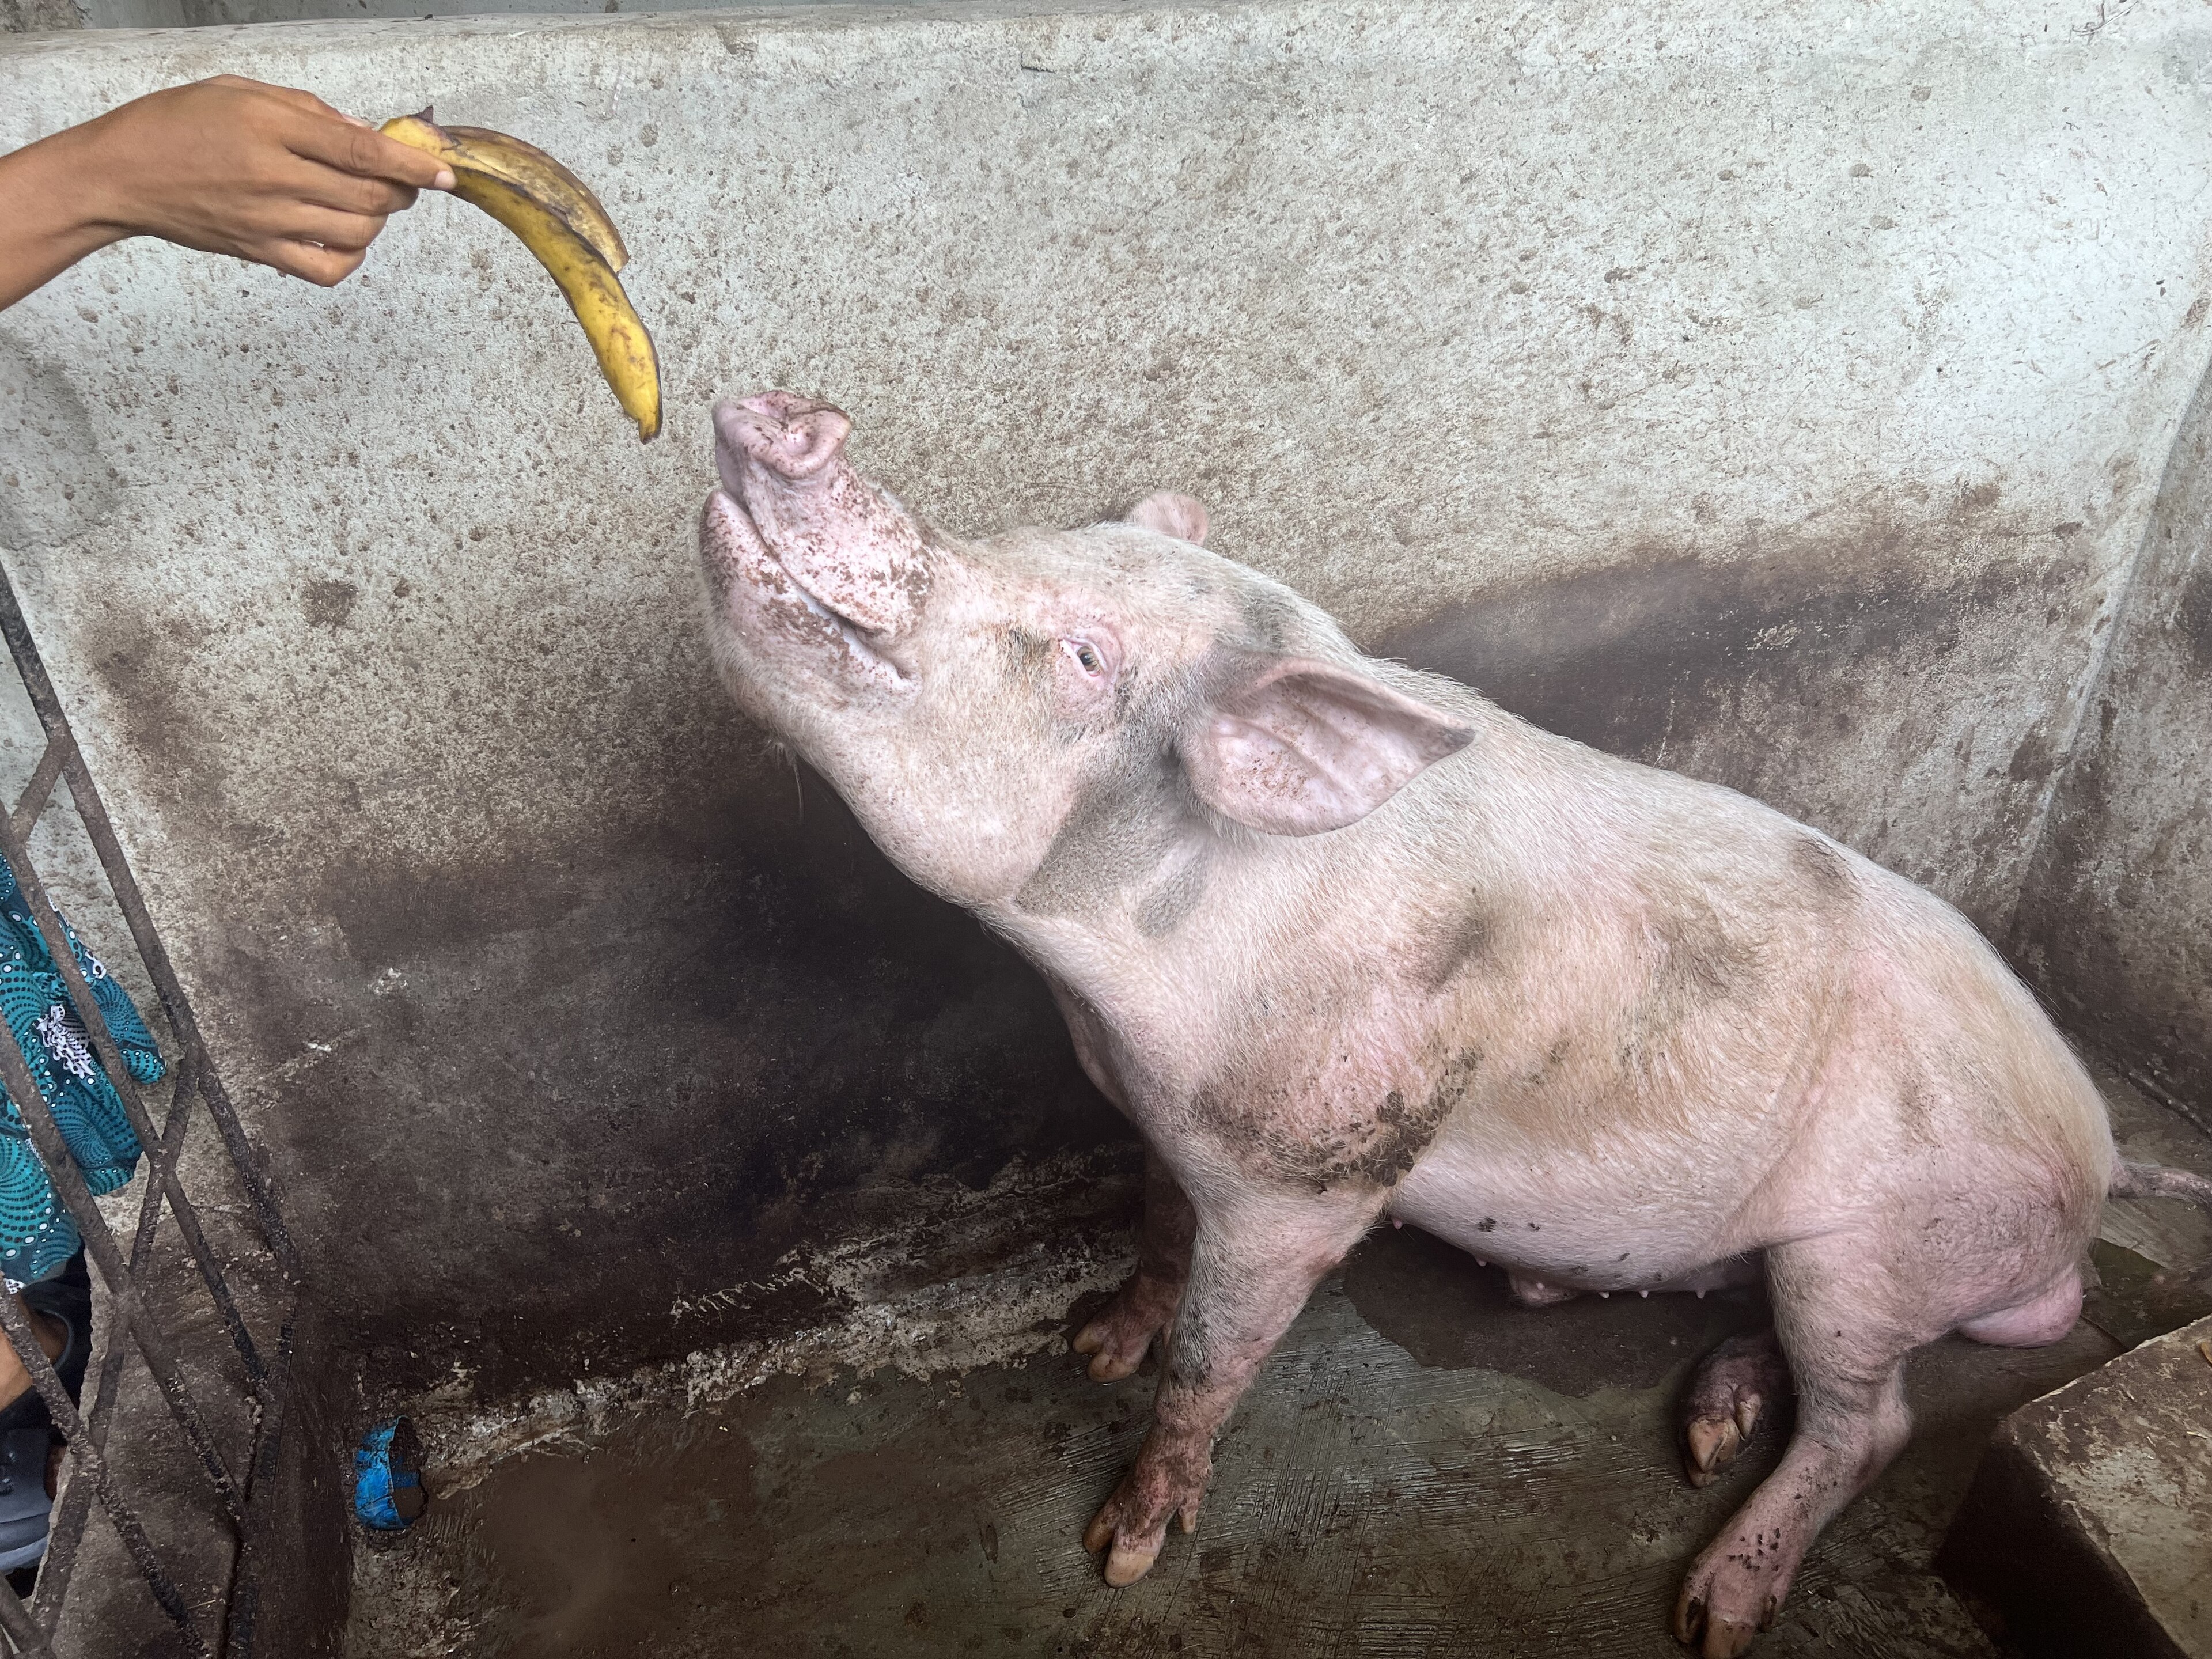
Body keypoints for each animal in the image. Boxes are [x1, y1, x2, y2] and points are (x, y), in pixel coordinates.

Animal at [698, 391, 2212, 1657]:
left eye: (1085, 654)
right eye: (1033, 535)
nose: (794, 418)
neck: (1117, 983)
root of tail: (2099, 1157)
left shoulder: (1309, 1177)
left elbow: (1215, 1356)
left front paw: (1123, 1547)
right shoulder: (1174, 1128)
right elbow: (1155, 1237)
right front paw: (1092, 1343)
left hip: (1879, 1248)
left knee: (1875, 1419)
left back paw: (1716, 1607)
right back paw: (1706, 1422)